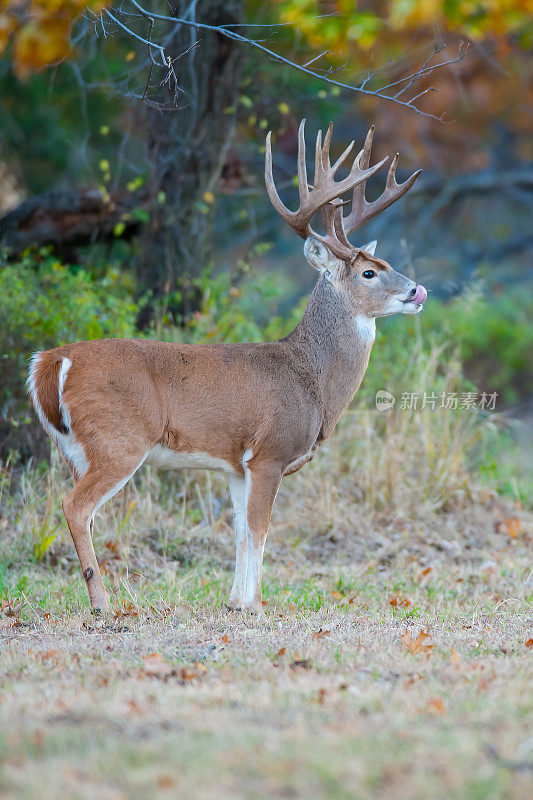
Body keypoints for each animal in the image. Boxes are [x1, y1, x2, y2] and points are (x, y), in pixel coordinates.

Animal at [28, 122, 428, 616]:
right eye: (370, 273)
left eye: (385, 263)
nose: (417, 290)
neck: (312, 381)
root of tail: (49, 361)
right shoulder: (270, 452)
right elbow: (260, 530)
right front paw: (255, 606)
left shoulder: (237, 465)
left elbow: (238, 531)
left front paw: (235, 600)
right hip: (117, 438)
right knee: (77, 507)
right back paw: (103, 605)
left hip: (70, 448)